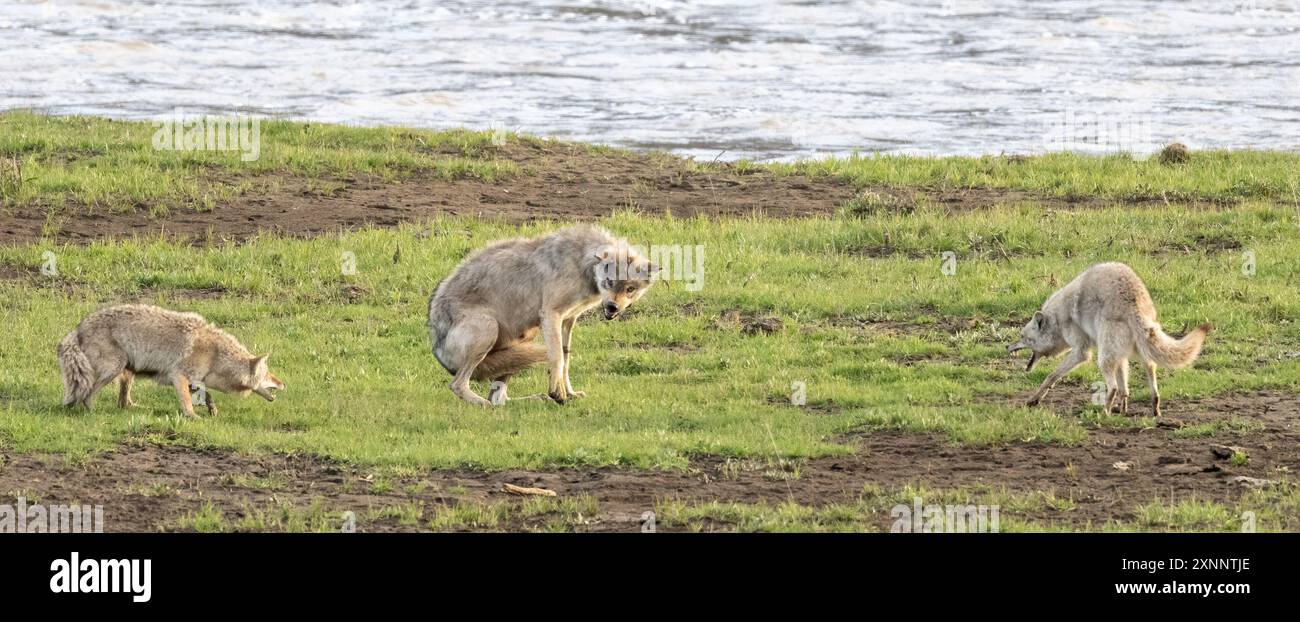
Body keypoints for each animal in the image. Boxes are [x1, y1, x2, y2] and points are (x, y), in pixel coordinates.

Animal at [58, 304, 284, 418]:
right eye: (268, 374)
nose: (284, 384)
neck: (216, 356)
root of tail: (77, 329)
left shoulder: (192, 380)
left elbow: (207, 394)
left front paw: (212, 410)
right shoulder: (179, 376)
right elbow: (188, 403)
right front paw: (193, 417)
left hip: (127, 371)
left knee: (123, 402)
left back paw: (134, 409)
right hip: (114, 368)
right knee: (86, 396)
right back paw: (97, 415)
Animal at [428, 225, 659, 406]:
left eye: (630, 289)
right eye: (609, 282)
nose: (612, 307)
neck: (582, 262)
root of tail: (437, 350)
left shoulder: (568, 320)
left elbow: (566, 359)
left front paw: (569, 393)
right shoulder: (551, 314)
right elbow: (558, 358)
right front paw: (557, 393)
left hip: (522, 341)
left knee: (499, 398)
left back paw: (531, 399)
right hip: (490, 327)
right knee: (459, 386)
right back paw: (484, 404)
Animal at [1007, 262, 1210, 416]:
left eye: (1022, 337)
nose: (1007, 346)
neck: (1056, 319)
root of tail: (1134, 303)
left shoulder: (1081, 352)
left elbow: (1051, 376)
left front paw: (1034, 399)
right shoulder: (1121, 358)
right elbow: (1125, 389)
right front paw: (1123, 409)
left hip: (1103, 359)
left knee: (1112, 388)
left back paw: (1104, 413)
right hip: (1139, 355)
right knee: (1149, 383)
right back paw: (1153, 412)